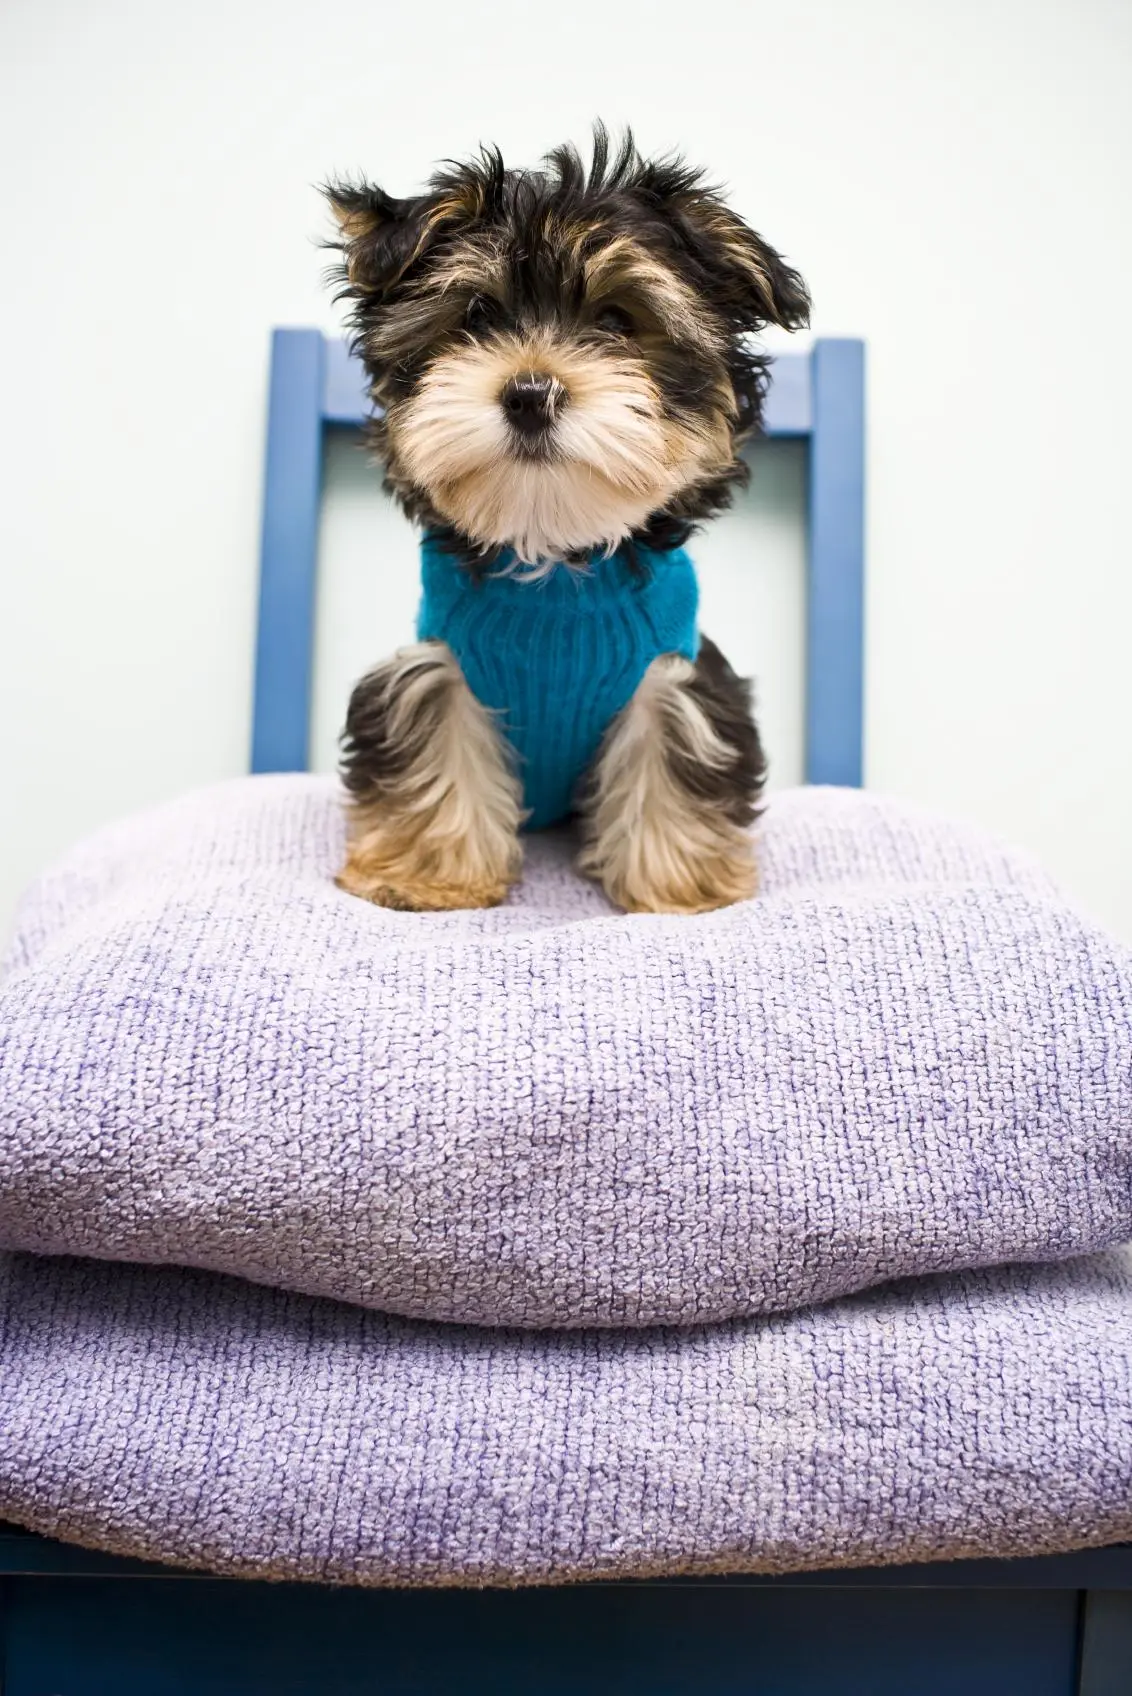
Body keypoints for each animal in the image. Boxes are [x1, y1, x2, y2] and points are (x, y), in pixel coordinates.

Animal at [322, 123, 811, 915]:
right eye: (477, 317)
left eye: (617, 321)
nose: (530, 393)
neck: (551, 557)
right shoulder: (436, 669)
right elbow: (434, 746)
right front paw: (429, 877)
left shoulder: (672, 678)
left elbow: (672, 756)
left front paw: (680, 889)